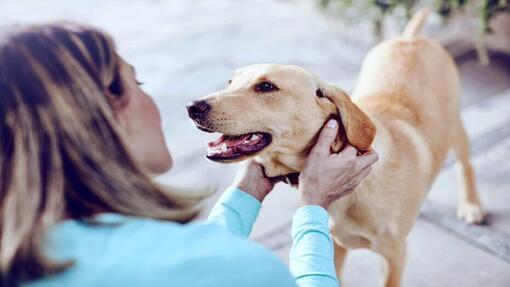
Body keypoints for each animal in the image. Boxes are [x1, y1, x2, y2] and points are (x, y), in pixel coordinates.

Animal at [188, 8, 486, 286]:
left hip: (454, 125)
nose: (192, 107)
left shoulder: (394, 257)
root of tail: (409, 38)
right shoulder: (334, 246)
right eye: (230, 82)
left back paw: (471, 205)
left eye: (266, 86)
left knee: (466, 164)